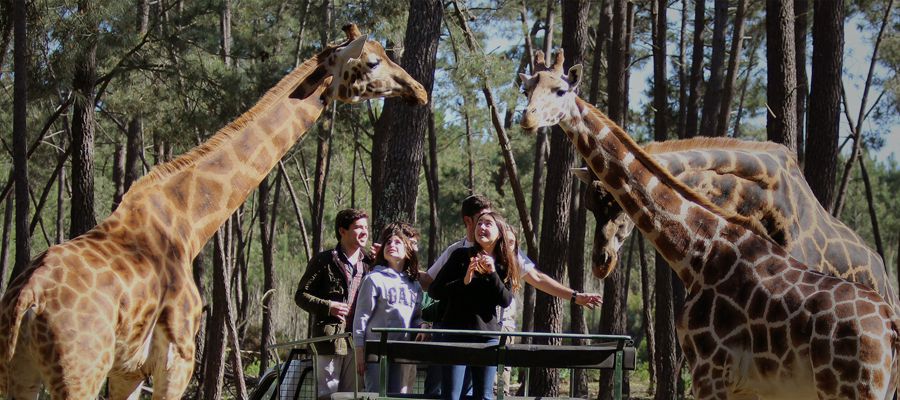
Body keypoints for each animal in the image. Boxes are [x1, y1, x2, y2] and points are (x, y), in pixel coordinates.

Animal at [0, 25, 428, 400]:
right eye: (372, 61)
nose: (420, 90)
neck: (188, 225)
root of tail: (26, 300)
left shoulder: (128, 370)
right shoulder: (176, 359)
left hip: (20, 371)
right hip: (79, 371)